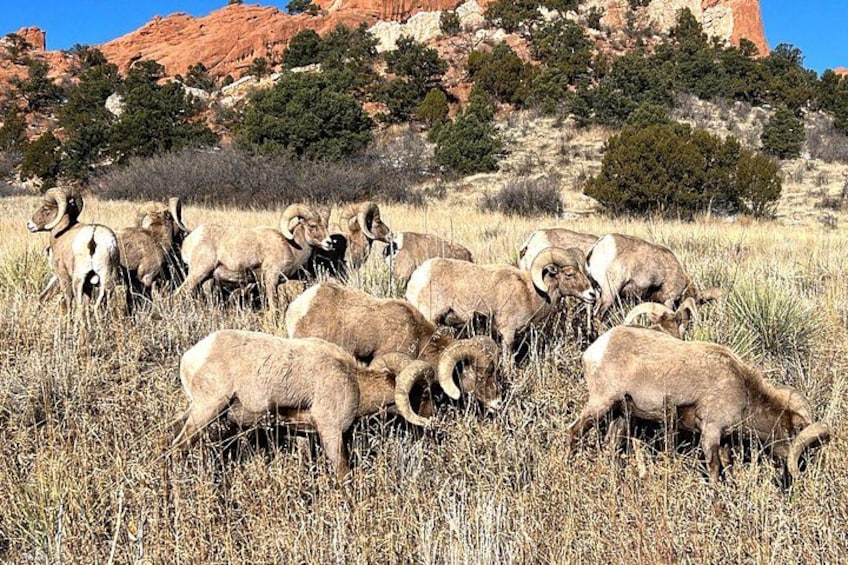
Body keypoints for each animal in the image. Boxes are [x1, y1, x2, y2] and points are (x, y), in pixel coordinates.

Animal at [171, 329, 437, 480]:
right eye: (424, 393)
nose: (433, 419)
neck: (353, 381)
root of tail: (191, 357)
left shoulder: (303, 434)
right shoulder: (331, 433)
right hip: (206, 412)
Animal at [177, 203, 332, 310]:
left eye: (326, 226)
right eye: (312, 226)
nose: (329, 243)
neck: (291, 246)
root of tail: (191, 239)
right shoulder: (271, 279)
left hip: (207, 280)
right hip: (198, 273)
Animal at [568, 326, 831, 481]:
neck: (742, 390)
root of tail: (595, 349)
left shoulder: (724, 440)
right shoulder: (710, 433)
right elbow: (714, 470)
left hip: (621, 416)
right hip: (600, 403)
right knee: (574, 431)